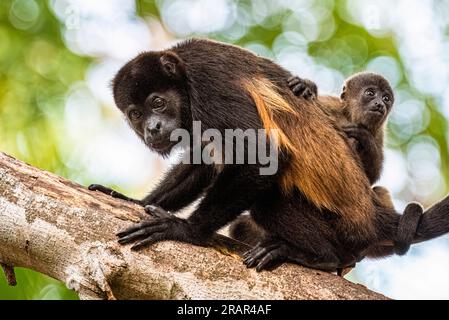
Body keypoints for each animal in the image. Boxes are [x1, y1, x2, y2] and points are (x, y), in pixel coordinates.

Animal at [89, 38, 448, 272]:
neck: (183, 77)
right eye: (136, 114)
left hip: (346, 230)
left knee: (268, 200)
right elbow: (203, 162)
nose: (152, 128)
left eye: (158, 102)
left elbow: (261, 153)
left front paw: (183, 230)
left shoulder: (209, 82)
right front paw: (131, 200)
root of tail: (373, 215)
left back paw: (319, 257)